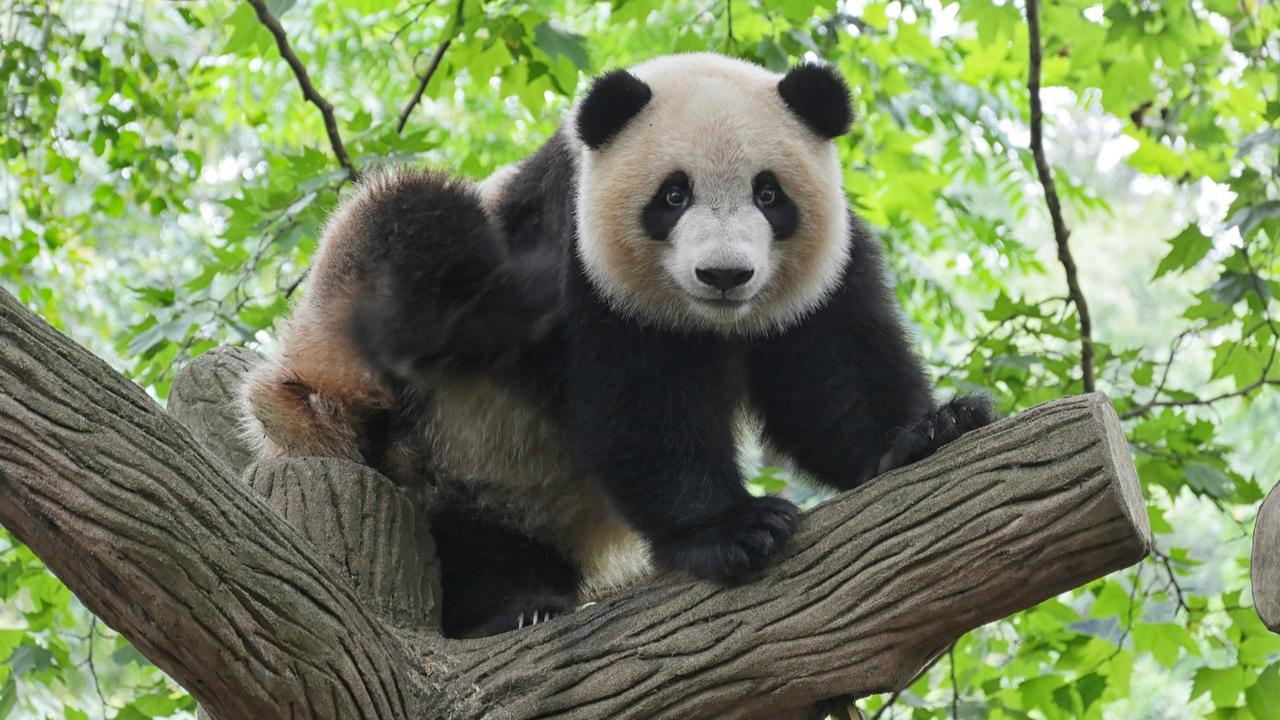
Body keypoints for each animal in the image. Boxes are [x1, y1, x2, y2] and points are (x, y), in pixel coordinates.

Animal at [240, 53, 995, 639]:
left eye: (769, 194)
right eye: (672, 196)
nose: (725, 275)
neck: (711, 322)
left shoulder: (821, 275)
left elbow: (831, 379)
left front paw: (929, 430)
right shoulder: (583, 265)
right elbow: (639, 406)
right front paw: (734, 528)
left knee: (485, 536)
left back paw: (521, 598)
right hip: (370, 377)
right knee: (411, 219)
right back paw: (509, 610)